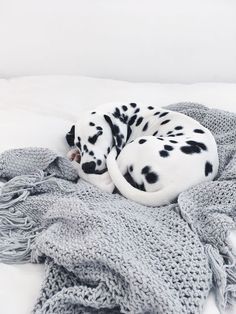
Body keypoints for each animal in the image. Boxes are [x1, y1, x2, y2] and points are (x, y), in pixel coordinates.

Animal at [66, 102, 218, 206]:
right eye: (78, 143)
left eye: (97, 135)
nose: (88, 166)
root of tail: (179, 185)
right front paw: (75, 153)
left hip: (135, 146)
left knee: (105, 182)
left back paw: (75, 165)